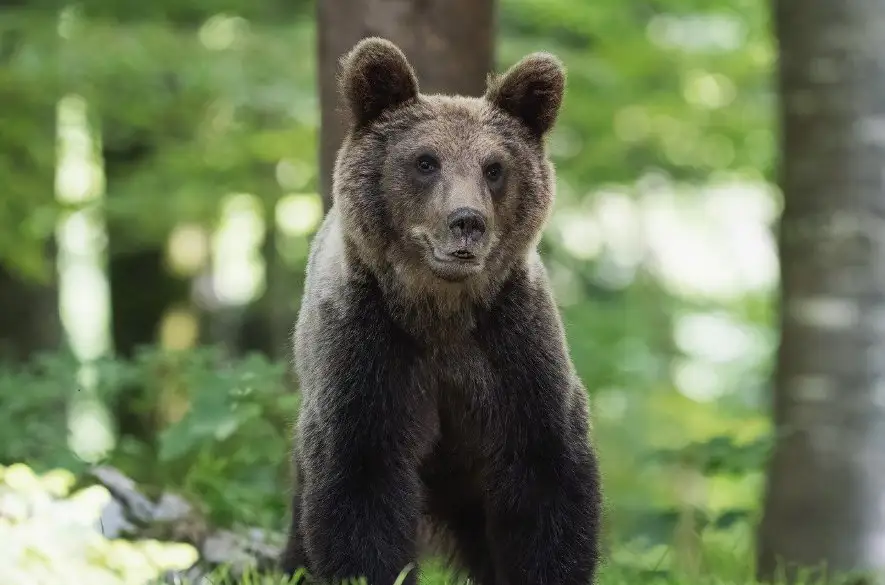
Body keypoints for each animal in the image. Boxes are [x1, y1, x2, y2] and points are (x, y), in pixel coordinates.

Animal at [284, 37, 600, 584]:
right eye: (426, 161)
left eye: (494, 167)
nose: (467, 221)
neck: (442, 312)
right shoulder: (369, 356)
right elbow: (360, 486)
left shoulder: (513, 353)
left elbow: (547, 478)